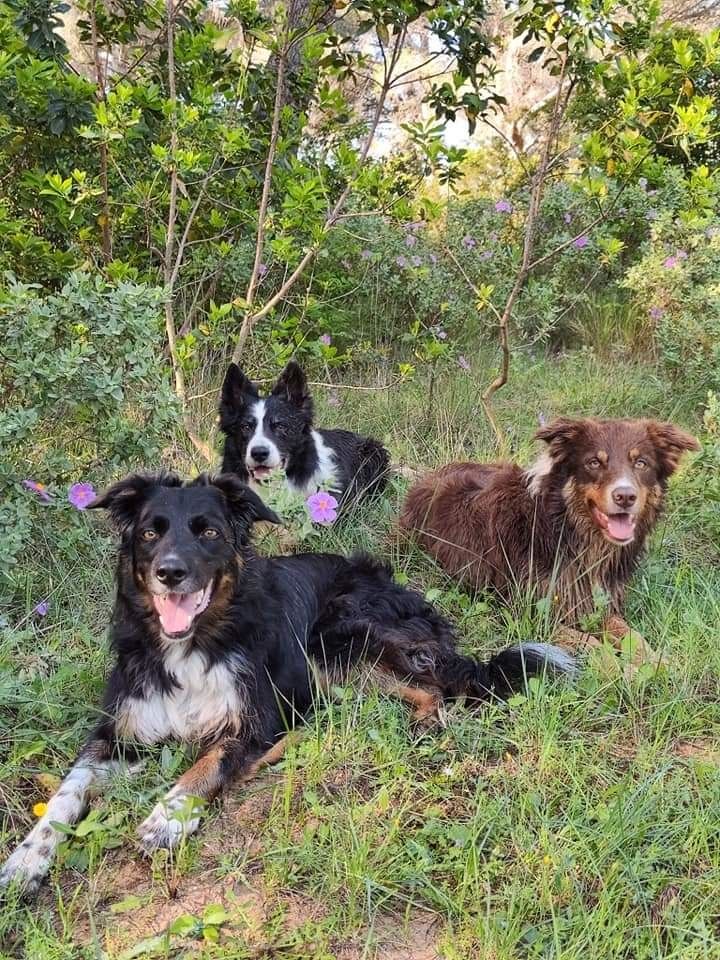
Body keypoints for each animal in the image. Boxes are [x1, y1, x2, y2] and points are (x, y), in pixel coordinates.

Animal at [0, 470, 572, 892]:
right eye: (149, 532)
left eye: (209, 531)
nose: (169, 572)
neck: (195, 642)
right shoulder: (116, 734)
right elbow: (65, 794)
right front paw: (26, 858)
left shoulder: (256, 719)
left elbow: (207, 763)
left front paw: (167, 817)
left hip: (336, 637)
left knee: (430, 685)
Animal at [400, 416, 696, 664]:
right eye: (594, 462)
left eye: (641, 463)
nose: (625, 496)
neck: (569, 532)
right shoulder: (531, 613)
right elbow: (593, 647)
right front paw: (623, 672)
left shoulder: (599, 603)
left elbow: (633, 636)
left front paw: (657, 663)